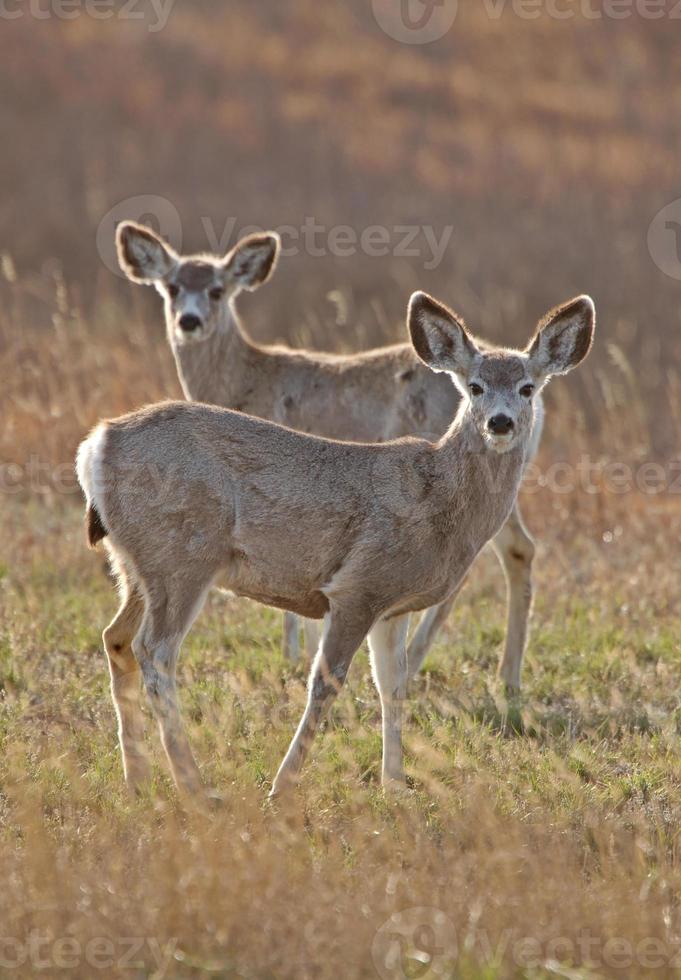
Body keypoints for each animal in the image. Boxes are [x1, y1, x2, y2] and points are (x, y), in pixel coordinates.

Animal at [77, 288, 592, 800]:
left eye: (528, 388)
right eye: (475, 387)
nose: (500, 423)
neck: (436, 499)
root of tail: (95, 447)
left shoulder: (393, 606)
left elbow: (393, 686)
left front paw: (395, 785)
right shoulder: (357, 587)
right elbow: (326, 683)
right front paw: (283, 788)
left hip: (137, 565)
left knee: (116, 639)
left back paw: (138, 779)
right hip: (182, 556)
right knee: (155, 651)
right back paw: (195, 786)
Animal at [117, 220, 540, 688]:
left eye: (216, 289)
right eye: (172, 287)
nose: (188, 321)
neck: (245, 377)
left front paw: (292, 653)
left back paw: (434, 664)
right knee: (518, 549)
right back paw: (504, 675)